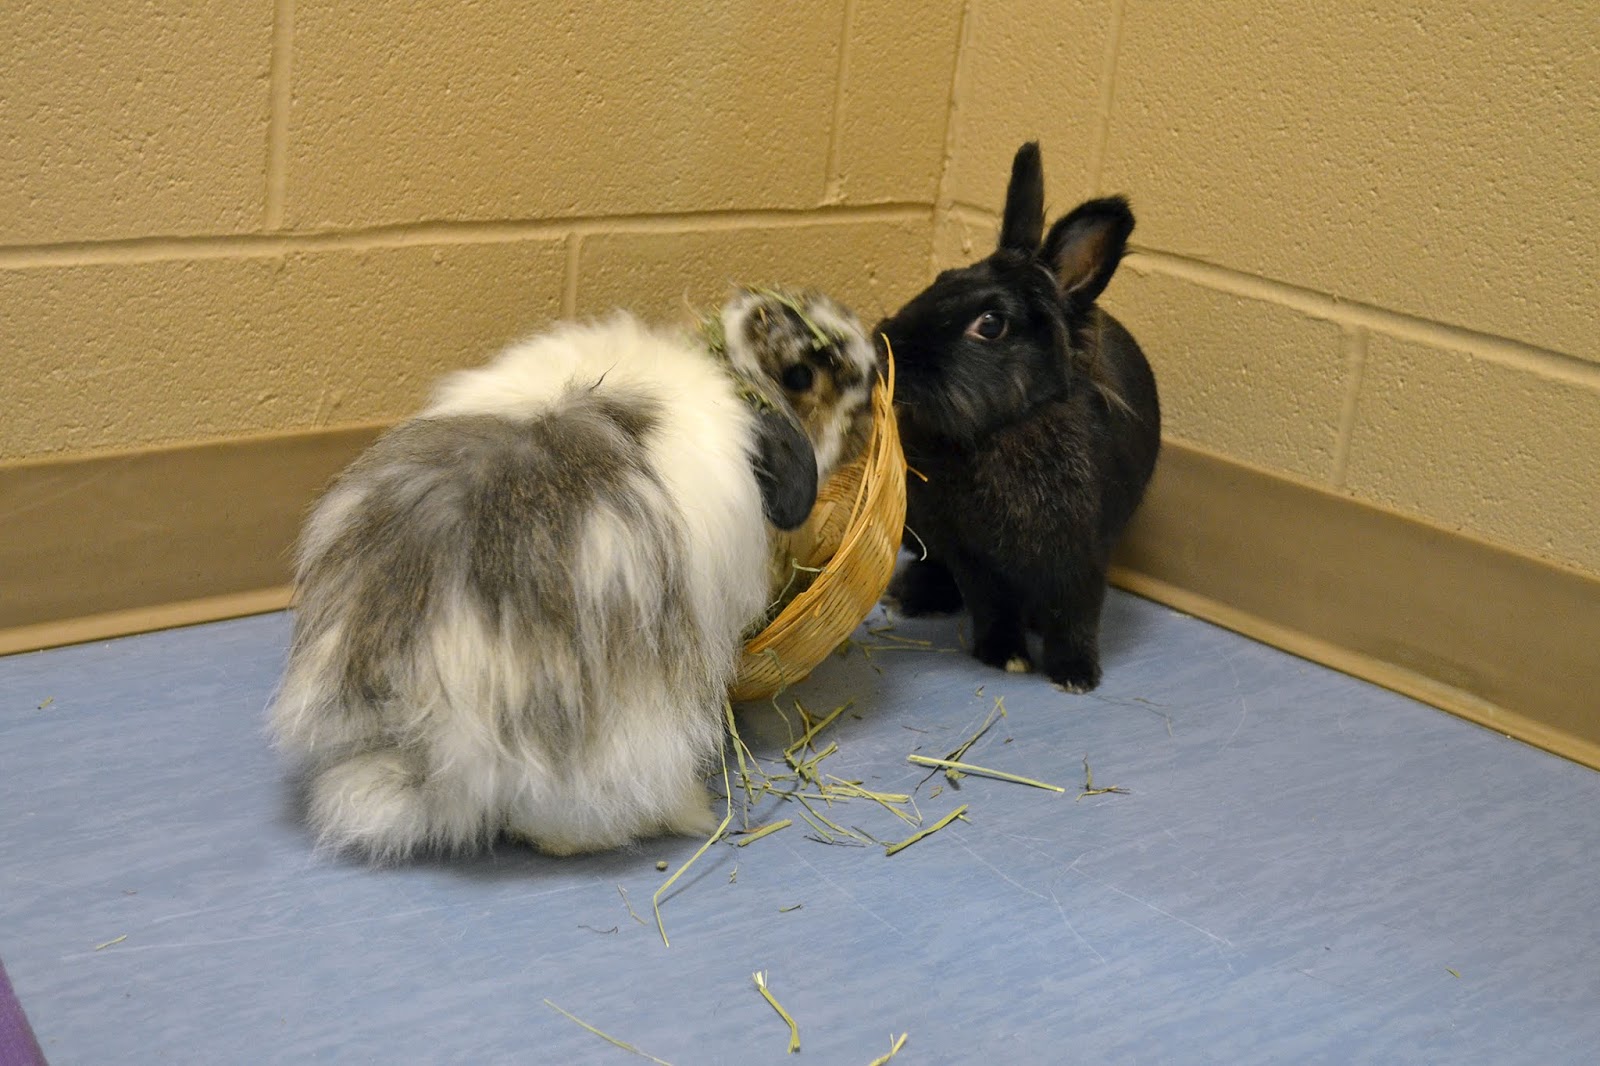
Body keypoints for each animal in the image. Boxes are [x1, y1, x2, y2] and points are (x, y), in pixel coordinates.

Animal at [874, 141, 1161, 692]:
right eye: (943, 278)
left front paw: (1076, 676)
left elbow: (1076, 616)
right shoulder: (973, 558)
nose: (887, 342)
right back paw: (914, 595)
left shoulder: (1081, 557)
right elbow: (990, 606)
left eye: (990, 325)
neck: (1002, 428)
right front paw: (1003, 655)